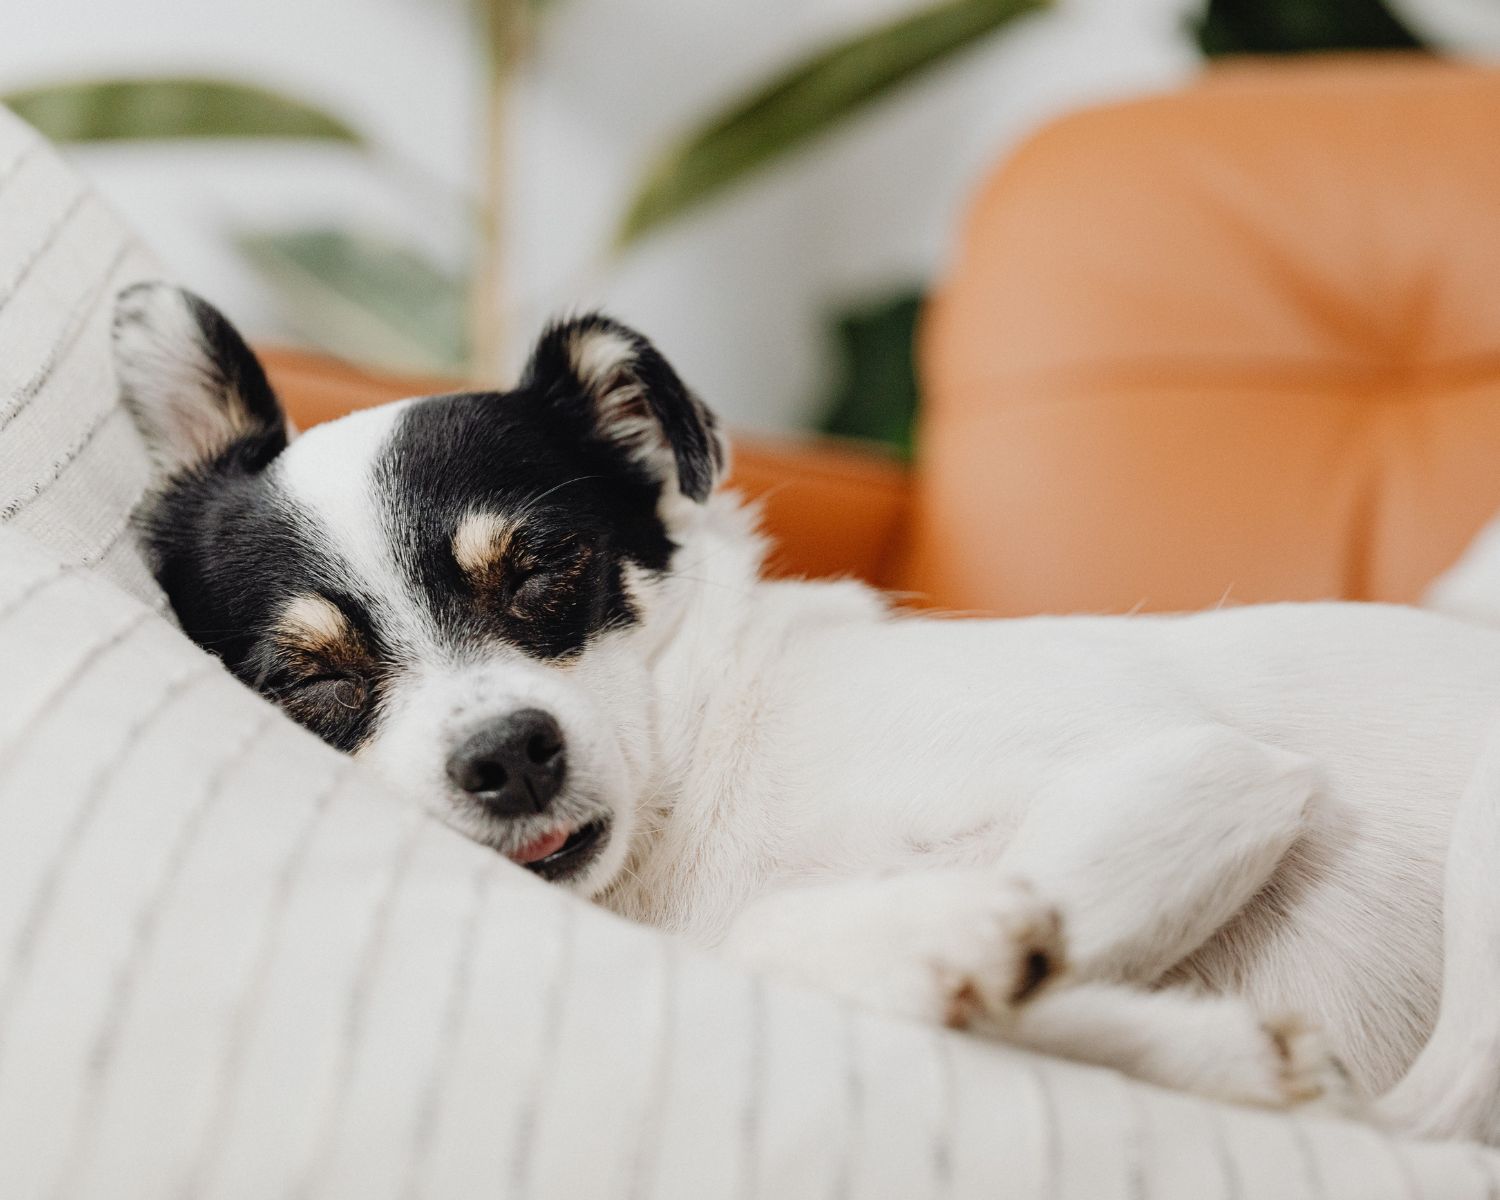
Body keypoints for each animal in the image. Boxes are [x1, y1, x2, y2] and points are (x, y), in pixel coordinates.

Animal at [120, 283, 1500, 1146]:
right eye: (311, 677)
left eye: (546, 568)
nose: (509, 756)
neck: (700, 796)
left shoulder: (1201, 771)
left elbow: (771, 935)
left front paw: (961, 943)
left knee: (1427, 1117)